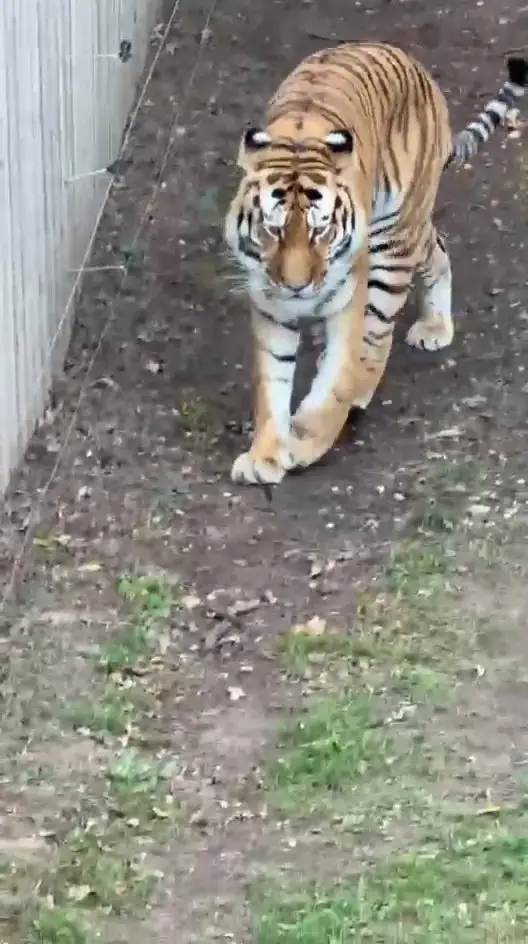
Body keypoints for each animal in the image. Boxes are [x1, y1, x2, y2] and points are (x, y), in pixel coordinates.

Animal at [223, 42, 528, 487]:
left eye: (320, 230)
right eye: (273, 229)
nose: (297, 286)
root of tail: (409, 61)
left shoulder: (347, 300)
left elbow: (336, 382)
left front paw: (305, 443)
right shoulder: (270, 308)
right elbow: (271, 382)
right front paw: (264, 456)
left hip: (394, 241)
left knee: (377, 337)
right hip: (411, 231)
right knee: (438, 247)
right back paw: (433, 326)